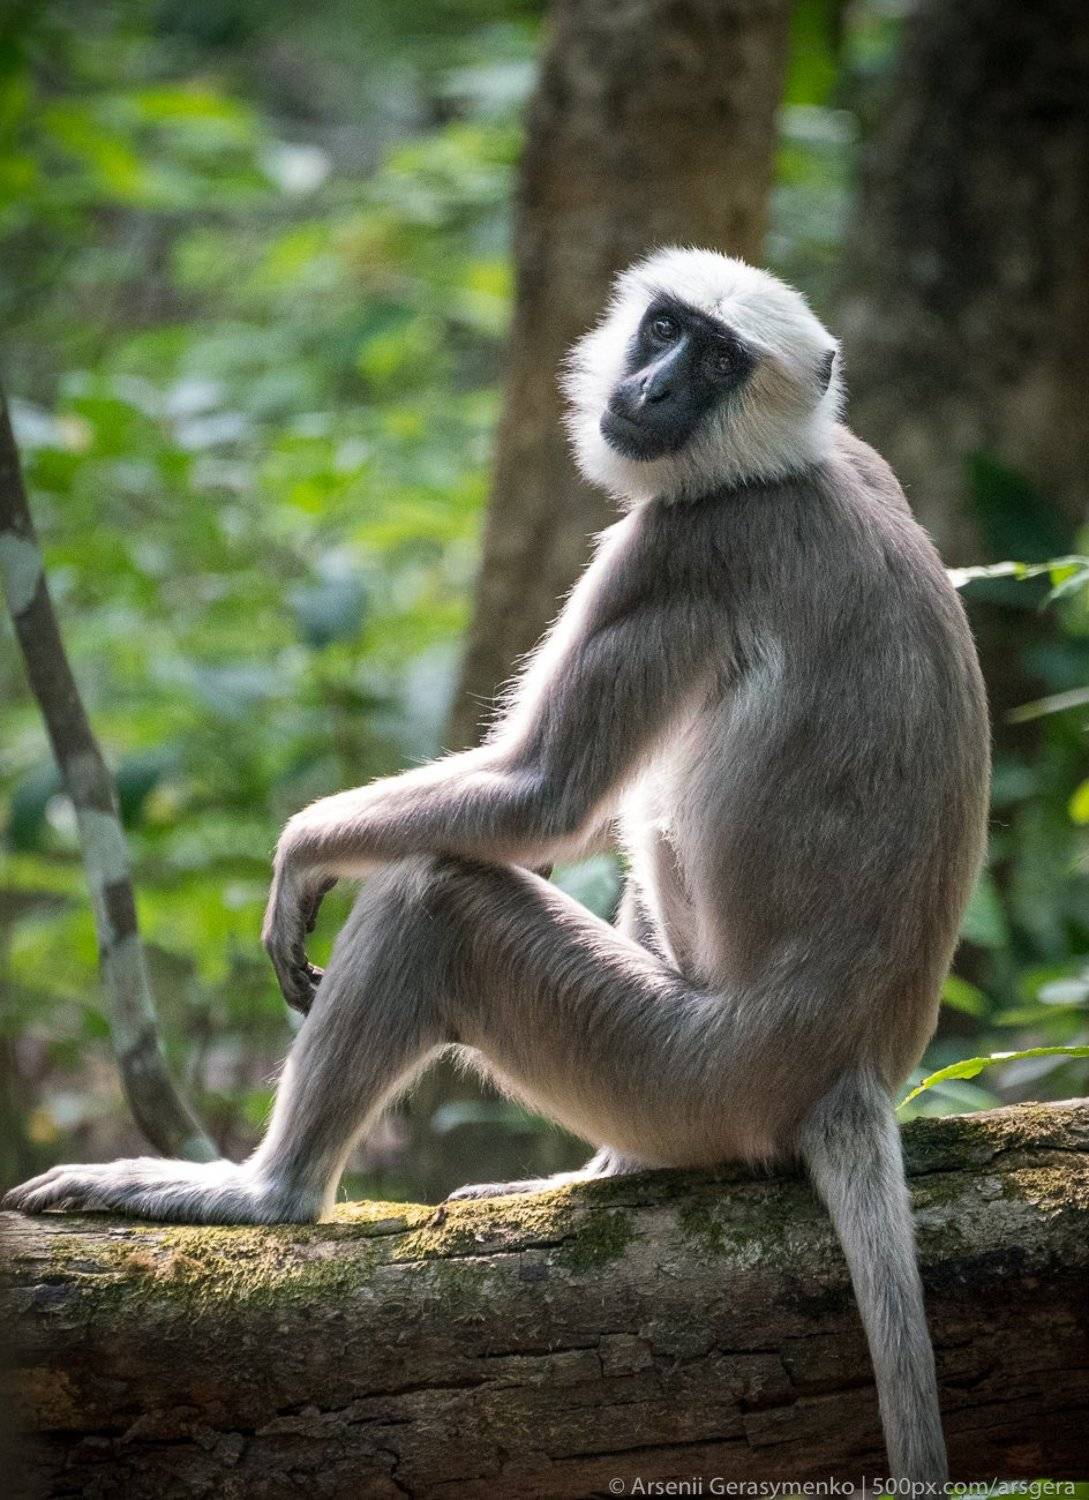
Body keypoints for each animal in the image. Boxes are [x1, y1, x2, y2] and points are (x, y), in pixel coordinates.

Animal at [4, 248, 989, 1484]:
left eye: (718, 360)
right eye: (665, 330)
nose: (656, 387)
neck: (791, 467)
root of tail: (853, 1070)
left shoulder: (681, 545)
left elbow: (542, 800)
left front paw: (304, 848)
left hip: (690, 1071)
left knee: (440, 895)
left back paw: (266, 1194)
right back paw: (609, 1174)